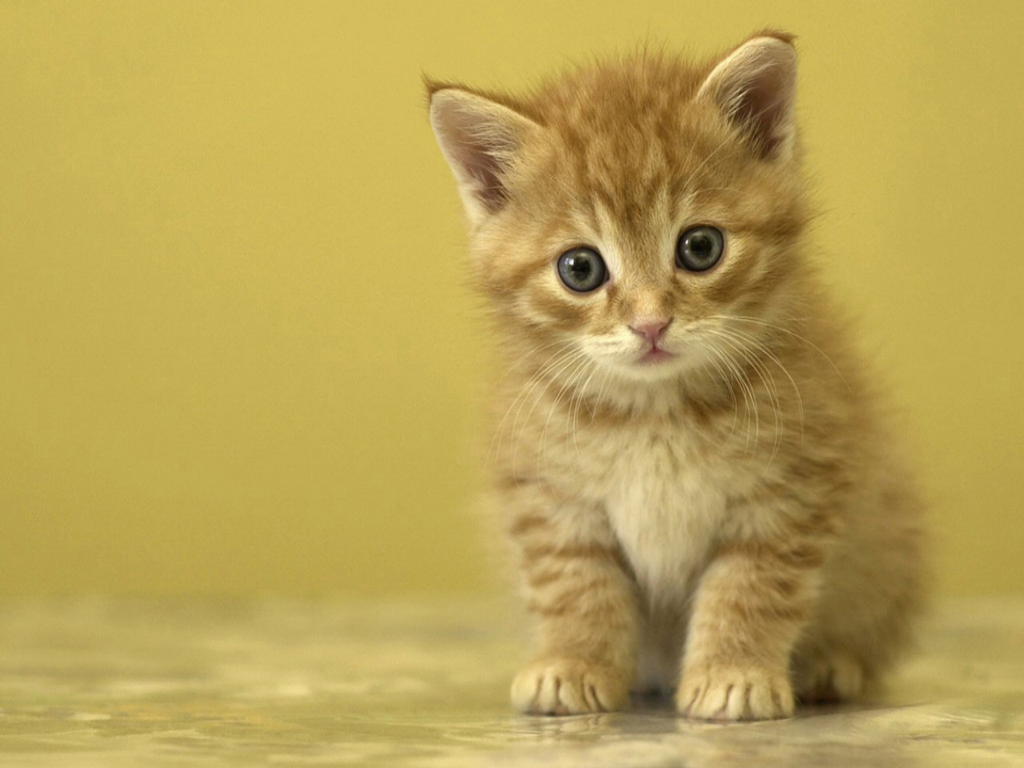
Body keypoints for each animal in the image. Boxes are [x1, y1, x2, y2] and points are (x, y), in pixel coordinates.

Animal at [428, 33, 925, 720]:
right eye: (579, 268)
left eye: (700, 247)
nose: (651, 324)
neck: (655, 410)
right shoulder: (551, 497)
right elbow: (575, 584)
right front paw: (573, 662)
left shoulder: (790, 490)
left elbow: (750, 586)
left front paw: (734, 673)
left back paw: (833, 665)